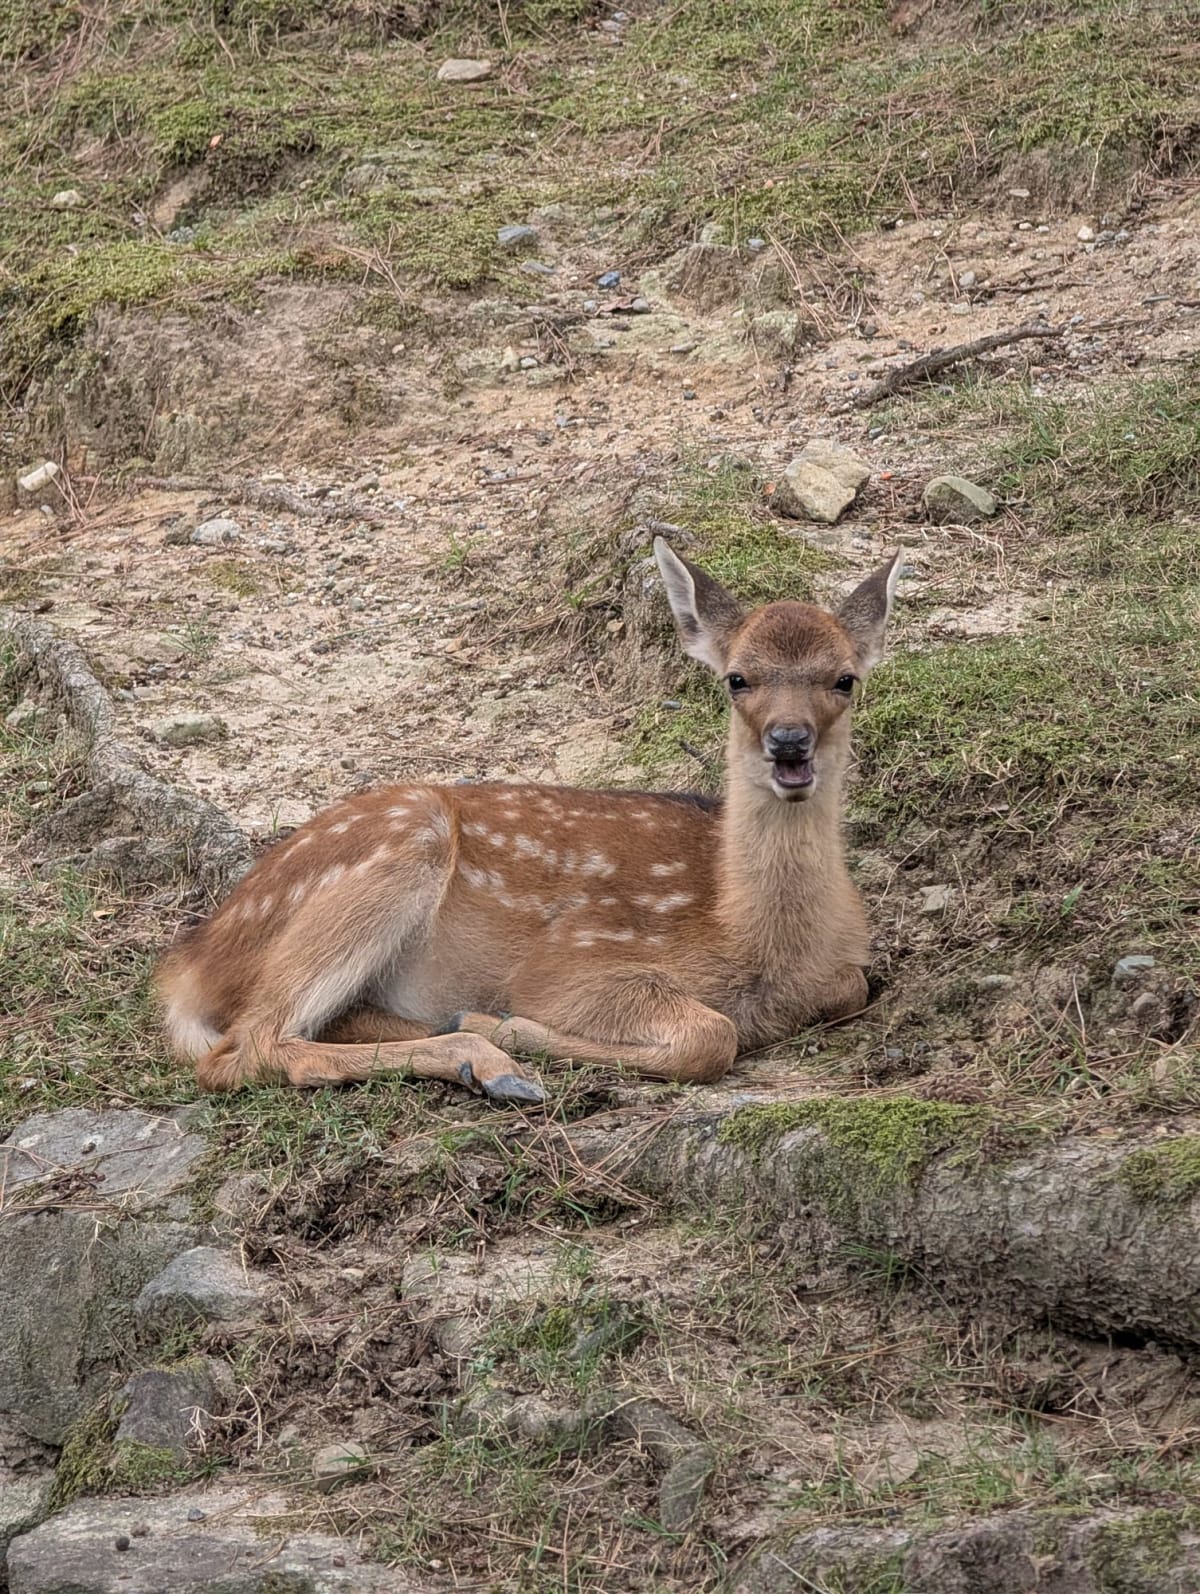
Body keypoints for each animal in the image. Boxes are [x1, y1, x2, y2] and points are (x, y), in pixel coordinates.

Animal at [157, 538, 901, 1105]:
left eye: (844, 678)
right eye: (737, 678)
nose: (788, 742)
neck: (745, 933)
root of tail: (187, 969)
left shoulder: (843, 970)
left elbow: (852, 985)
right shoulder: (574, 961)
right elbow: (710, 1036)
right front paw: (508, 1028)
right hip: (401, 846)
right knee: (244, 1050)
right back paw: (493, 1061)